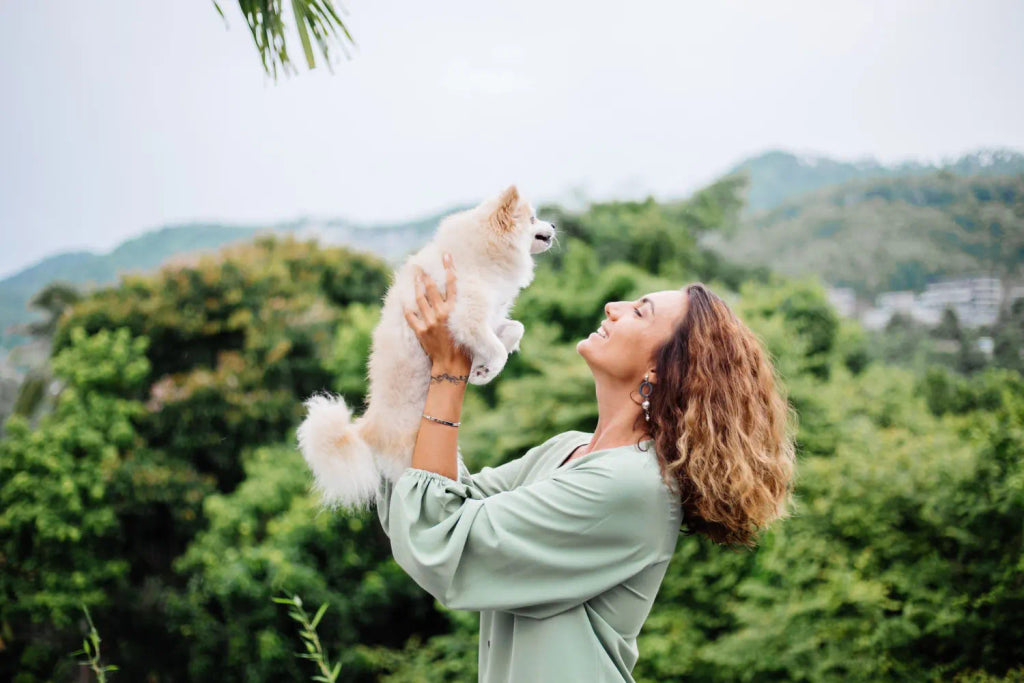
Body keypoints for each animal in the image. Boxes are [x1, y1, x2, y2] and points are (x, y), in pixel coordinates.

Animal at [292, 184, 557, 509]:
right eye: (533, 219)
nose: (553, 224)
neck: (485, 252)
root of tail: (366, 429)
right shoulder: (466, 318)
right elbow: (496, 347)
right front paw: (489, 369)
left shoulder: (488, 319)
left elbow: (514, 330)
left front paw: (479, 369)